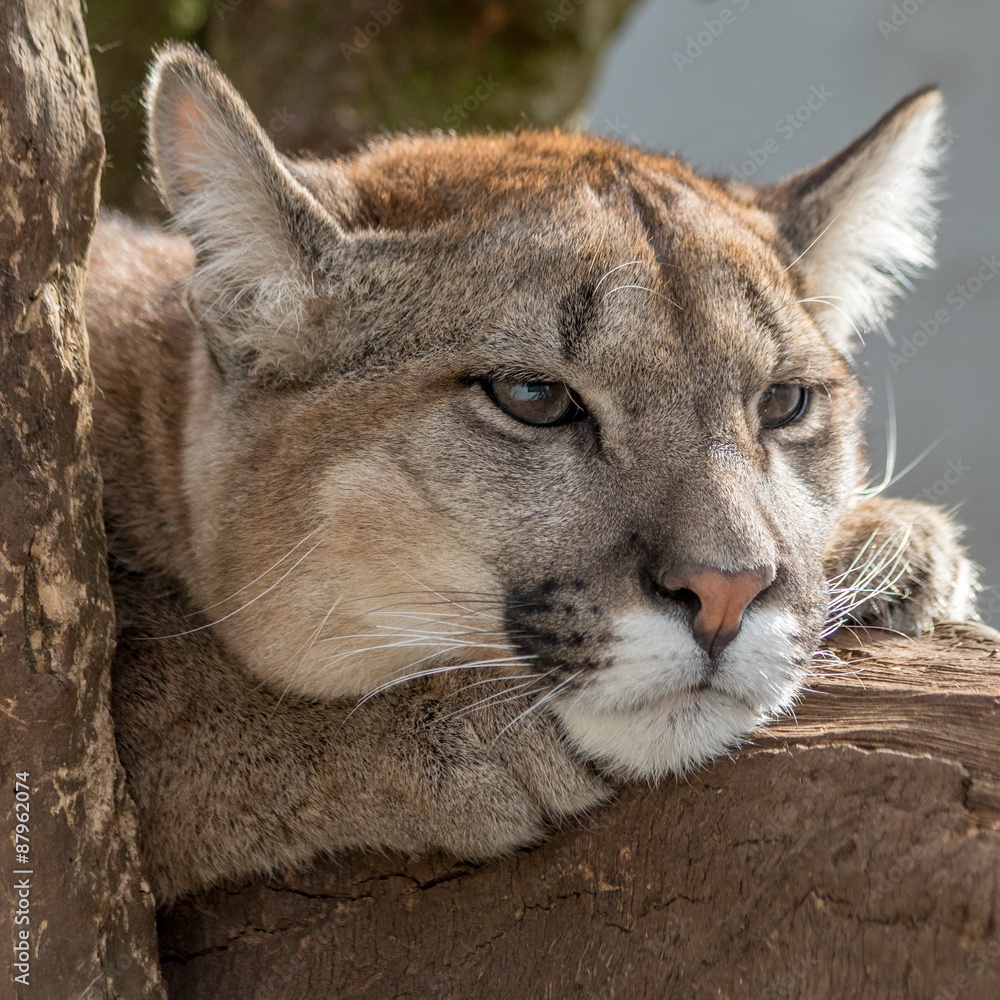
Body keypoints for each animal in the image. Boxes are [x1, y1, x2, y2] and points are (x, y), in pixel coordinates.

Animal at [88, 47, 976, 904]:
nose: (729, 592)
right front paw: (461, 740)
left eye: (784, 402)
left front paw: (885, 547)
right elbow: (163, 694)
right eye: (534, 398)